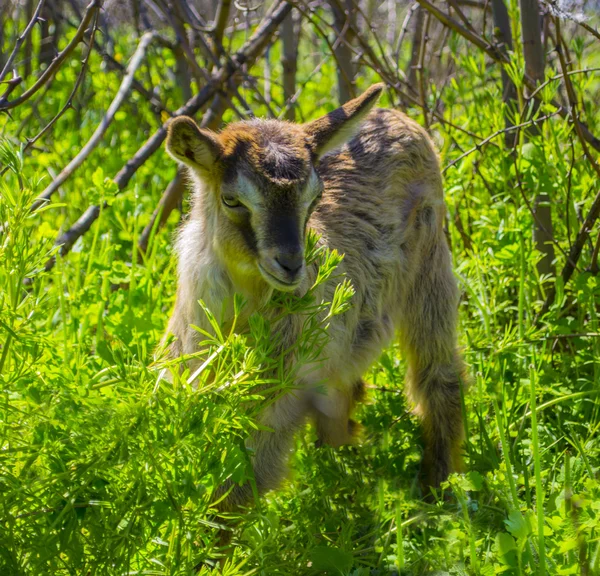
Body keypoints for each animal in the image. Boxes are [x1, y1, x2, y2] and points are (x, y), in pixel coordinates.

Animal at [166, 84, 466, 508]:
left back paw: (438, 493)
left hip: (430, 269)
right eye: (231, 200)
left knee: (437, 376)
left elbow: (236, 489)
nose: (292, 264)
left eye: (315, 196)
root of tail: (397, 116)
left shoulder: (275, 403)